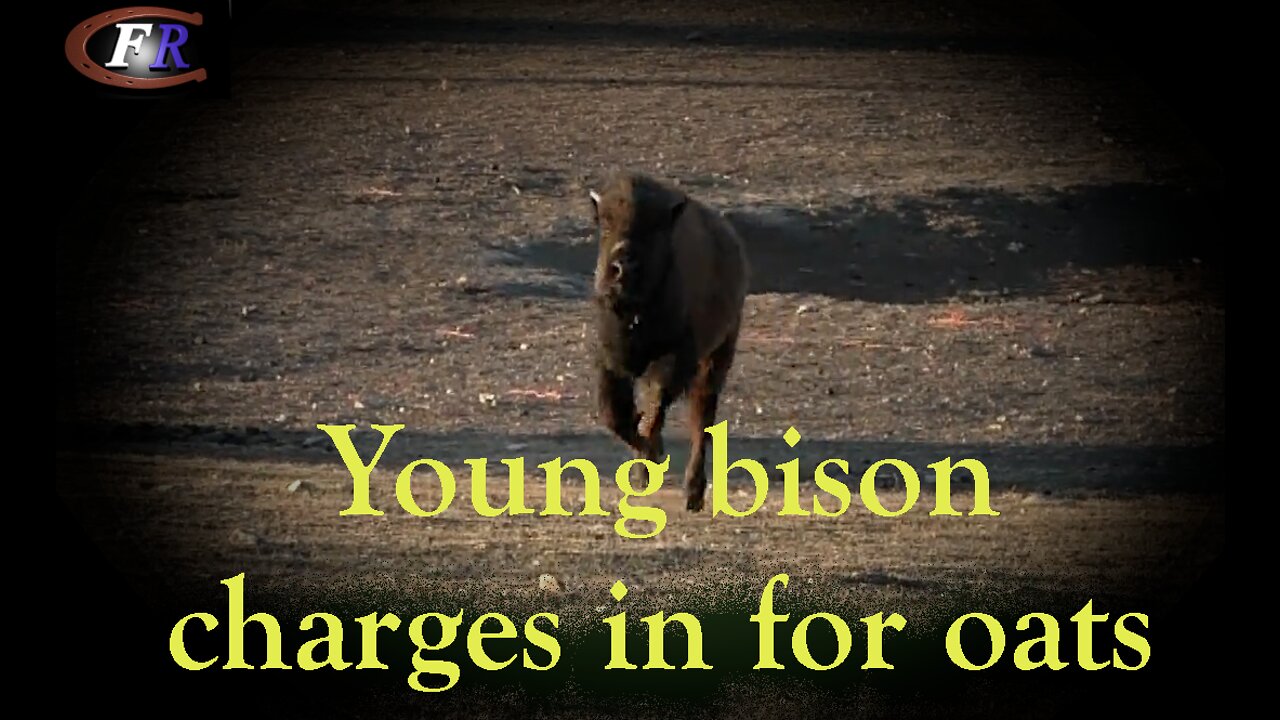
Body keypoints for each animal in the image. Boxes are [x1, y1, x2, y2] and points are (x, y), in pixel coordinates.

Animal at [586, 171, 747, 509]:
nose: (622, 267)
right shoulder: (612, 362)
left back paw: (693, 493)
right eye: (605, 224)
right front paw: (643, 463)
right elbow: (615, 415)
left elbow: (654, 405)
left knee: (702, 421)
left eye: (655, 230)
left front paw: (654, 453)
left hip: (717, 357)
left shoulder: (676, 357)